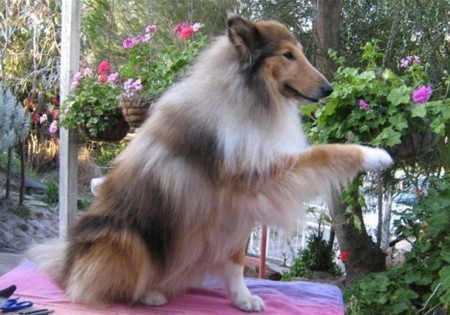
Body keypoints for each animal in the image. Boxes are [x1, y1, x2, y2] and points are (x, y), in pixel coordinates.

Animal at [29, 15, 392, 314]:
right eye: (288, 55)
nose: (328, 88)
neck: (246, 96)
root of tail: (67, 266)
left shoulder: (237, 208)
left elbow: (235, 262)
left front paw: (242, 299)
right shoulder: (258, 173)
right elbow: (323, 152)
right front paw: (373, 154)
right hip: (124, 237)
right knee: (105, 284)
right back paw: (149, 294)